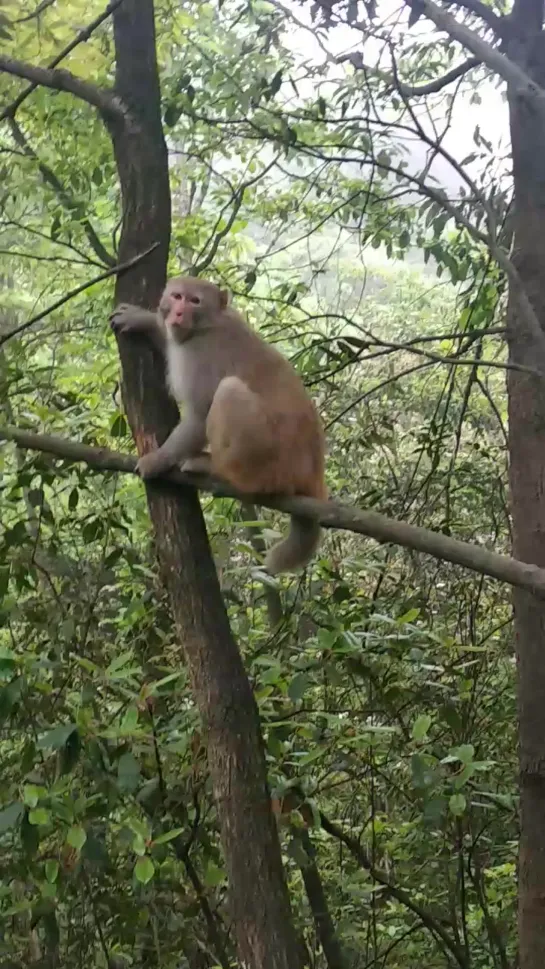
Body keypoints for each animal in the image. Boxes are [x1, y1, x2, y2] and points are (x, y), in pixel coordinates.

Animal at [108, 276, 326, 572]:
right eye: (177, 296)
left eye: (194, 301)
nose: (179, 313)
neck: (203, 327)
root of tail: (312, 472)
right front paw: (143, 319)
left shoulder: (199, 357)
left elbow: (200, 413)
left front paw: (159, 459)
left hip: (271, 460)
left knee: (228, 391)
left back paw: (217, 470)